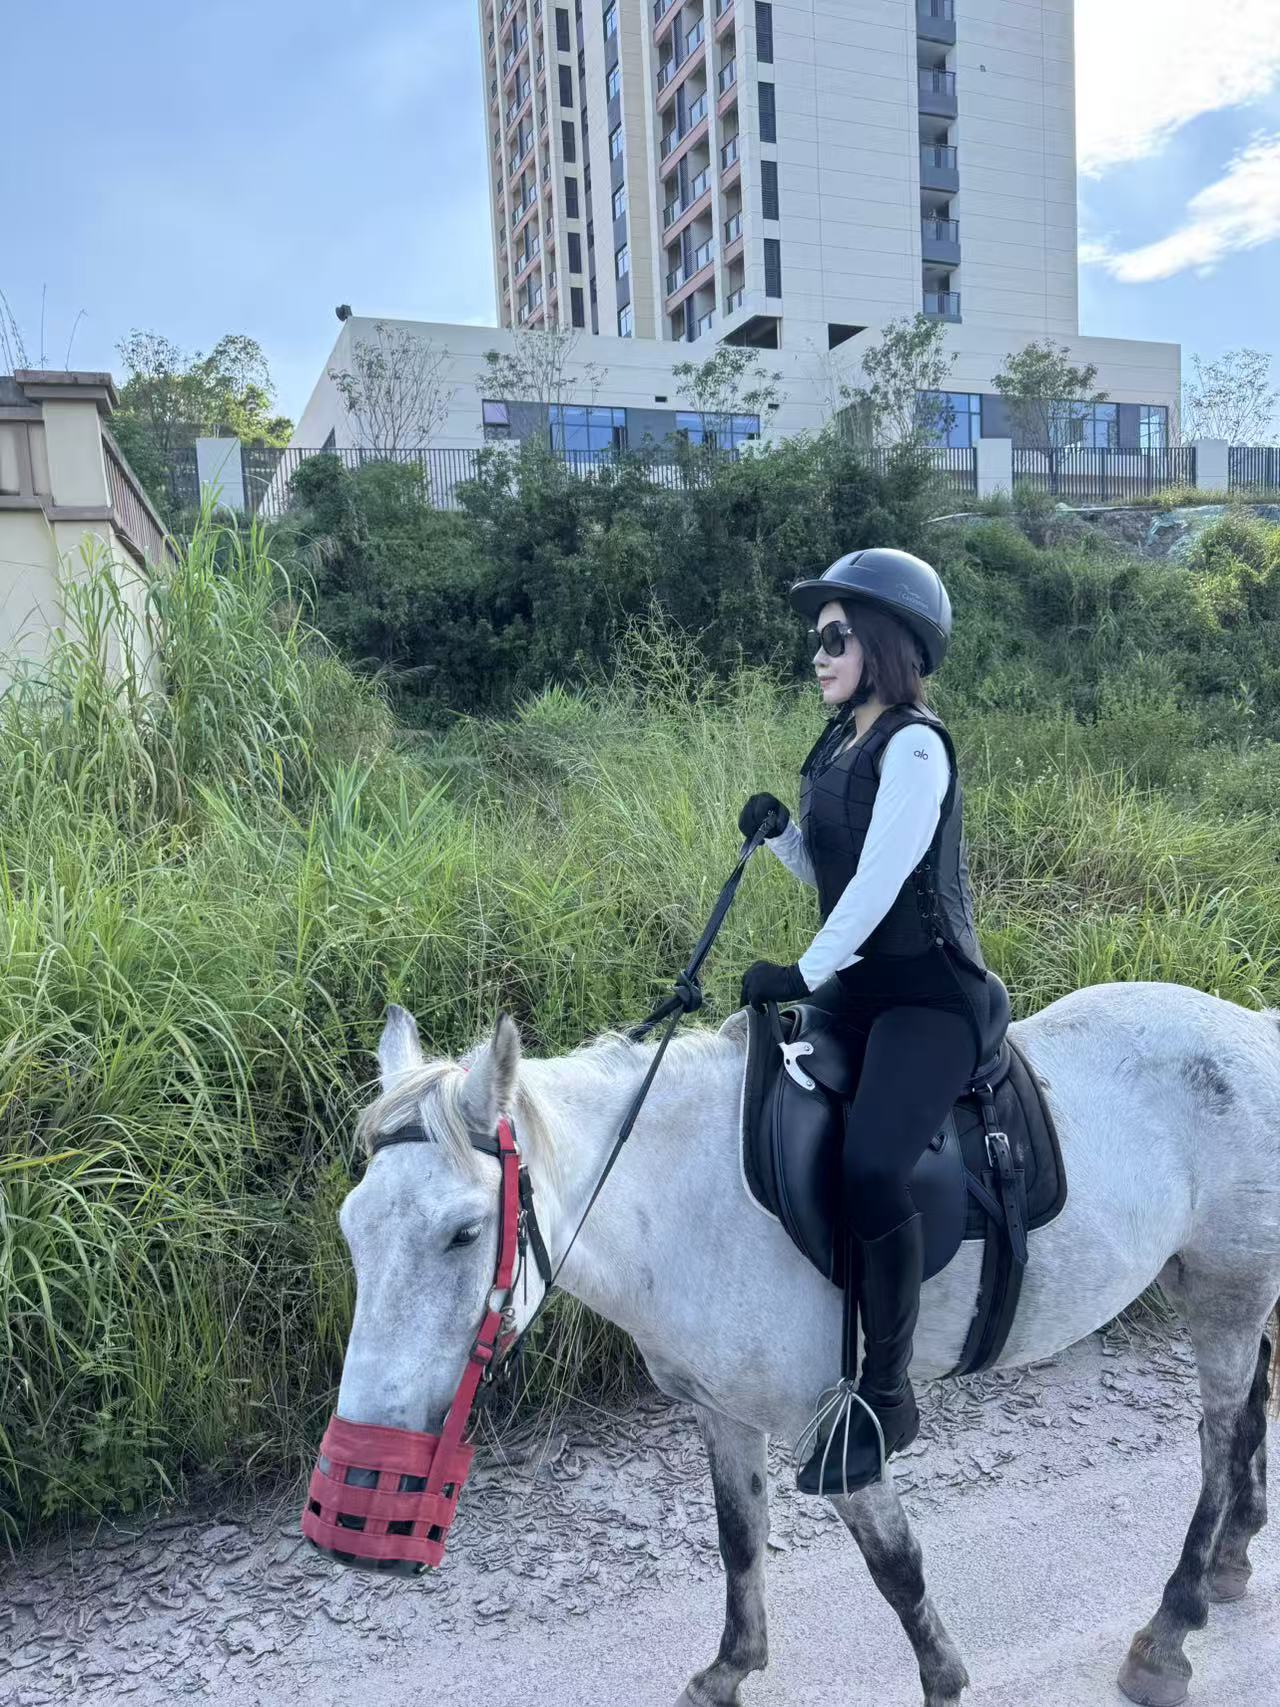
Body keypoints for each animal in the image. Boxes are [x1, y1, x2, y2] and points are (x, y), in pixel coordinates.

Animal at [324, 980, 1280, 1707]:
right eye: (352, 1225)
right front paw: (728, 1671)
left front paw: (943, 1679)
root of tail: (1255, 1027)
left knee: (1219, 1433)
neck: (690, 1203)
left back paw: (1170, 1629)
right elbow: (740, 1536)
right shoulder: (723, 1413)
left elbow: (896, 1565)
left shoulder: (840, 1427)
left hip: (1228, 1289)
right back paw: (1233, 1555)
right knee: (1253, 1399)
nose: (362, 1481)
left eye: (461, 1232)